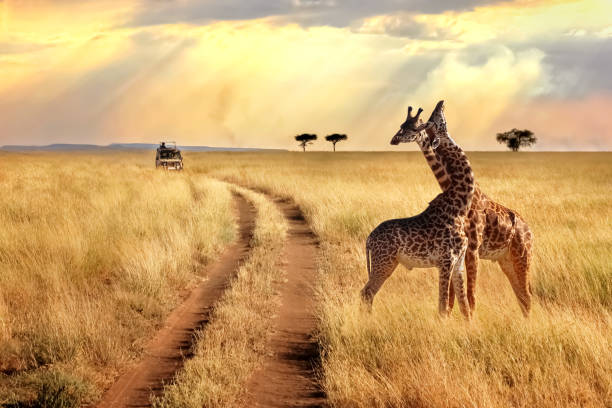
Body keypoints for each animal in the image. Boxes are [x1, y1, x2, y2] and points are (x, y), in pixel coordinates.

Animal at [360, 100, 476, 320]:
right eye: (434, 120)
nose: (441, 103)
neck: (460, 205)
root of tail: (369, 239)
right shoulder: (446, 260)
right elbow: (443, 307)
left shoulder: (458, 262)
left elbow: (464, 306)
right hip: (384, 262)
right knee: (367, 292)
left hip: (386, 262)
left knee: (367, 292)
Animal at [392, 101, 532, 316]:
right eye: (403, 126)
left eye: (415, 127)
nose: (394, 139)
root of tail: (529, 229)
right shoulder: (460, 251)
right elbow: (454, 297)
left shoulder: (472, 249)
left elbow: (468, 296)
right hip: (506, 260)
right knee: (521, 296)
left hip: (522, 256)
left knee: (527, 295)